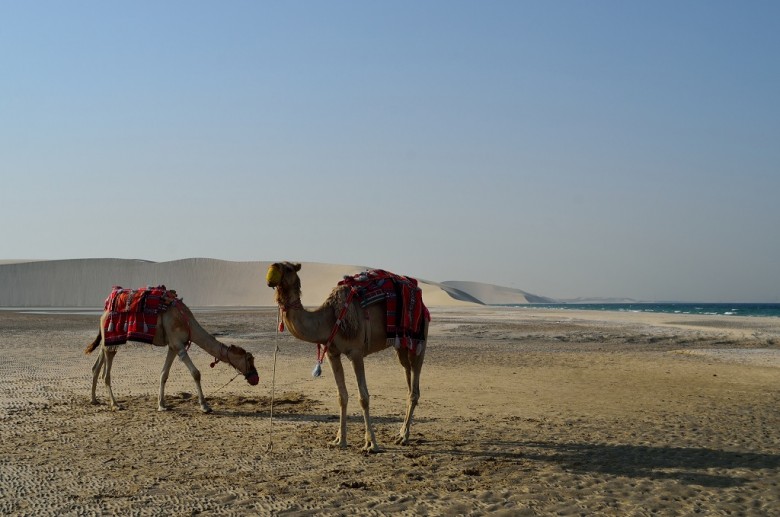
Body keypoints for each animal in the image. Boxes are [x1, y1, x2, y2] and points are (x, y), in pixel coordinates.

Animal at [86, 284, 258, 414]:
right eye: (250, 361)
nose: (256, 378)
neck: (188, 322)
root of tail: (104, 311)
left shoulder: (173, 346)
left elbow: (164, 374)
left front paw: (162, 405)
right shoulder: (178, 344)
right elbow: (196, 373)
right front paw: (205, 406)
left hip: (107, 340)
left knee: (96, 366)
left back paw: (94, 399)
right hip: (111, 337)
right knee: (106, 373)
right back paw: (115, 404)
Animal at [266, 262, 426, 452]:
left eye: (289, 268)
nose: (271, 272)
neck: (328, 319)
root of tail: (423, 304)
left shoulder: (356, 352)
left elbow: (363, 397)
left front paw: (371, 443)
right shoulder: (332, 353)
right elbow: (341, 396)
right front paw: (339, 440)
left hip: (419, 340)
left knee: (414, 386)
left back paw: (405, 436)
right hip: (401, 344)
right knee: (407, 375)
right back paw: (401, 433)